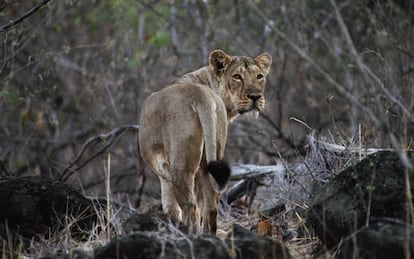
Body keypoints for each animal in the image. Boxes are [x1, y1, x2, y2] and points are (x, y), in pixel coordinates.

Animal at [139, 49, 272, 234]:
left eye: (259, 76)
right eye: (237, 77)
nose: (255, 96)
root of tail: (200, 96)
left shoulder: (164, 175)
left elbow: (171, 209)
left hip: (182, 165)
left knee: (191, 208)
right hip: (210, 161)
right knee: (210, 208)